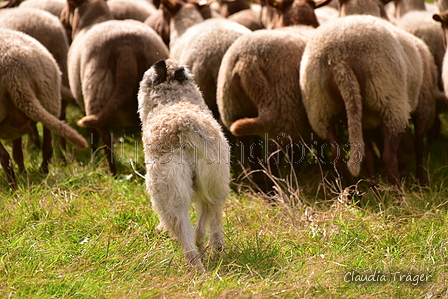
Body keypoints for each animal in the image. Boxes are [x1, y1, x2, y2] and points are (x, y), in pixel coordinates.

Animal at [0, 27, 88, 188]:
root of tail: (15, 73)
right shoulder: (14, 128)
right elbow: (18, 154)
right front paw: (23, 173)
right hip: (49, 102)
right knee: (47, 148)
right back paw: (40, 173)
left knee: (4, 157)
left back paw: (13, 187)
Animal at [61, 0, 170, 176]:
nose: (61, 18)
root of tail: (126, 48)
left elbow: (93, 135)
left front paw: (93, 159)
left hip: (95, 89)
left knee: (105, 136)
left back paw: (111, 172)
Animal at [298, 15, 438, 186]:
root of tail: (337, 57)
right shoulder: (423, 107)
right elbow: (419, 143)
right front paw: (420, 180)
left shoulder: (366, 122)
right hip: (389, 99)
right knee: (388, 156)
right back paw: (398, 191)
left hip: (323, 108)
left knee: (340, 157)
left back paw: (359, 190)